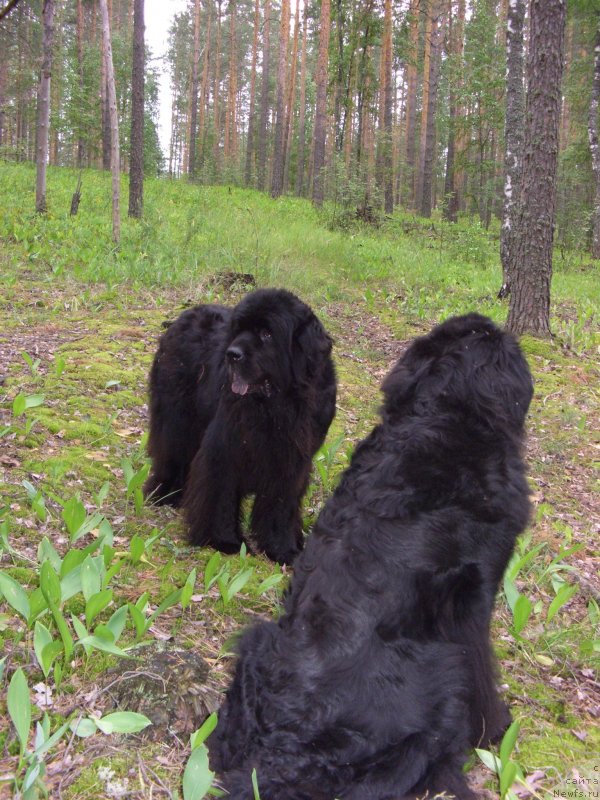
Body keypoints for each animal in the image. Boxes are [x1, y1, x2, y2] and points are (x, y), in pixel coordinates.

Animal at [143, 288, 336, 564]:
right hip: (176, 419)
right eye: (239, 329)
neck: (279, 405)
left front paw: (282, 548)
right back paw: (165, 492)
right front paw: (225, 541)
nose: (232, 354)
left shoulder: (292, 460)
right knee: (171, 452)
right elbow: (221, 493)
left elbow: (281, 505)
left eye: (267, 334)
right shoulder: (225, 448)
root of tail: (186, 314)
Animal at [209, 314, 532, 800]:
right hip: (443, 680)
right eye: (490, 337)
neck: (445, 415)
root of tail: (288, 753)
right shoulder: (473, 609)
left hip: (257, 641)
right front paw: (496, 726)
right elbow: (484, 672)